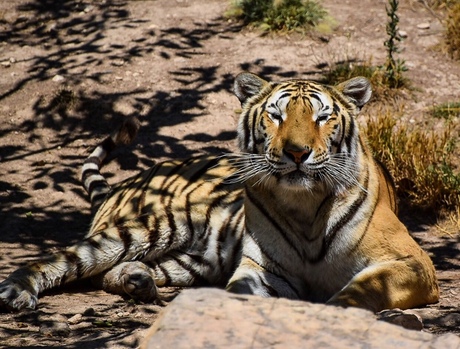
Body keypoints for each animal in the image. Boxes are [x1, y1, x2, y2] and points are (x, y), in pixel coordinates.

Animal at [0, 72, 440, 312]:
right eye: (275, 115)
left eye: (322, 117)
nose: (297, 152)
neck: (306, 204)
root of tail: (122, 185)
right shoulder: (265, 270)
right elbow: (240, 293)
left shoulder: (411, 261)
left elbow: (359, 291)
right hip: (151, 226)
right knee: (64, 259)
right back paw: (17, 291)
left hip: (194, 261)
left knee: (109, 273)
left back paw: (138, 280)